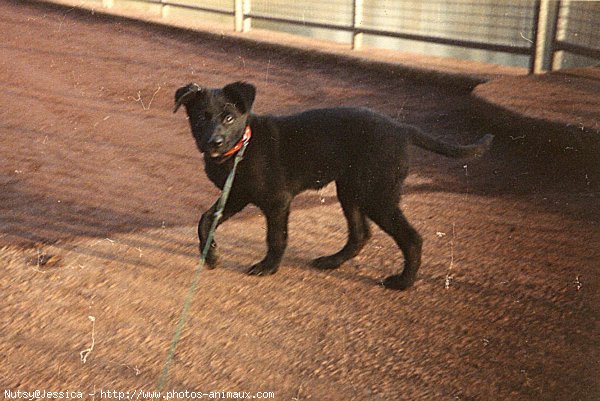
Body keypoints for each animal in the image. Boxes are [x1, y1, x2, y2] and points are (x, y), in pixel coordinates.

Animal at [173, 81, 492, 290]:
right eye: (201, 118)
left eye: (228, 117)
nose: (213, 142)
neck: (241, 148)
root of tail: (403, 129)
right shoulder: (236, 195)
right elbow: (205, 220)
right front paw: (211, 254)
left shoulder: (277, 200)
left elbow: (276, 237)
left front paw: (268, 267)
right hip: (352, 190)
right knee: (361, 234)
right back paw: (332, 261)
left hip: (376, 195)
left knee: (412, 238)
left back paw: (403, 282)